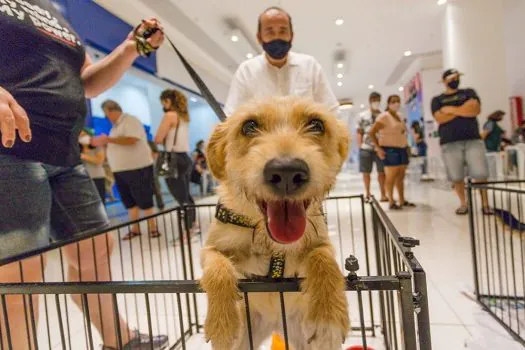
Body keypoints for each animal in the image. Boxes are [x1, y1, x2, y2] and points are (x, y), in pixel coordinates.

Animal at [199, 96, 350, 350]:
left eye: (317, 124)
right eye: (249, 126)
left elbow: (324, 260)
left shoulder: (322, 242)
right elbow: (217, 268)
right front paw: (222, 323)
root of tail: (275, 324)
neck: (270, 242)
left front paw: (327, 317)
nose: (287, 172)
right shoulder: (211, 248)